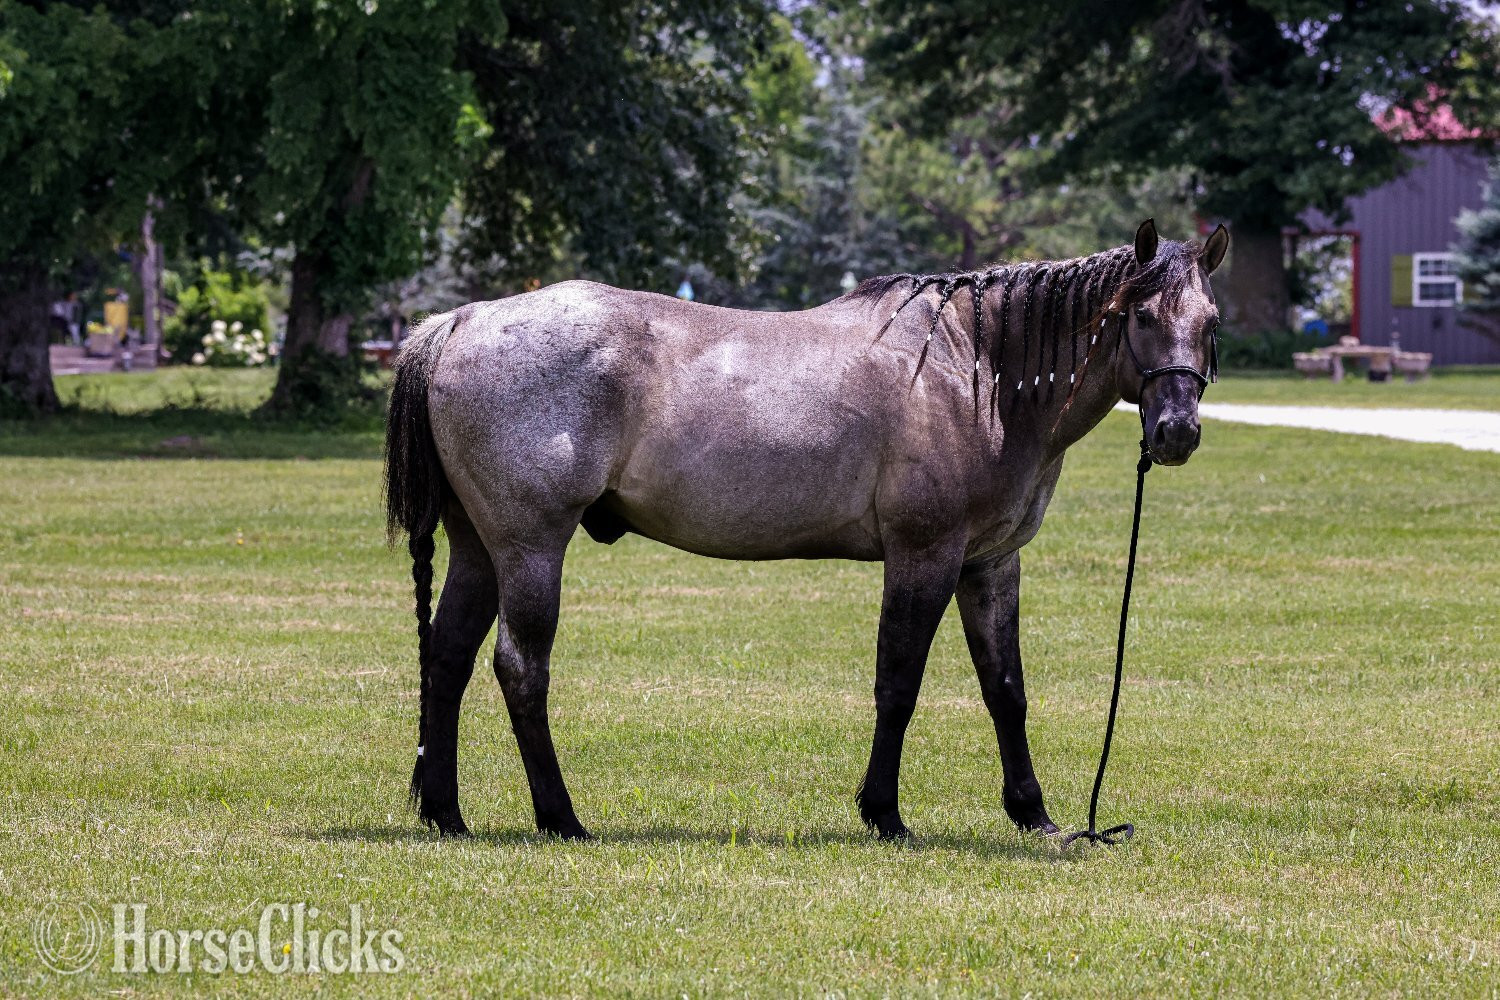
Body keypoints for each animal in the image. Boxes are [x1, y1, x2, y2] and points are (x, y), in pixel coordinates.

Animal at [384, 218, 1229, 841]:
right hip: (530, 548)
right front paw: (885, 814)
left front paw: (1034, 814)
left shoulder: (990, 564)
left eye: (1210, 321)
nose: (1179, 432)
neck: (975, 371)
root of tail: (460, 320)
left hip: (478, 549)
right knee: (521, 668)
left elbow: (1006, 690)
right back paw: (560, 817)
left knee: (448, 659)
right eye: (1141, 316)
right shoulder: (924, 555)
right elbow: (899, 681)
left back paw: (448, 814)